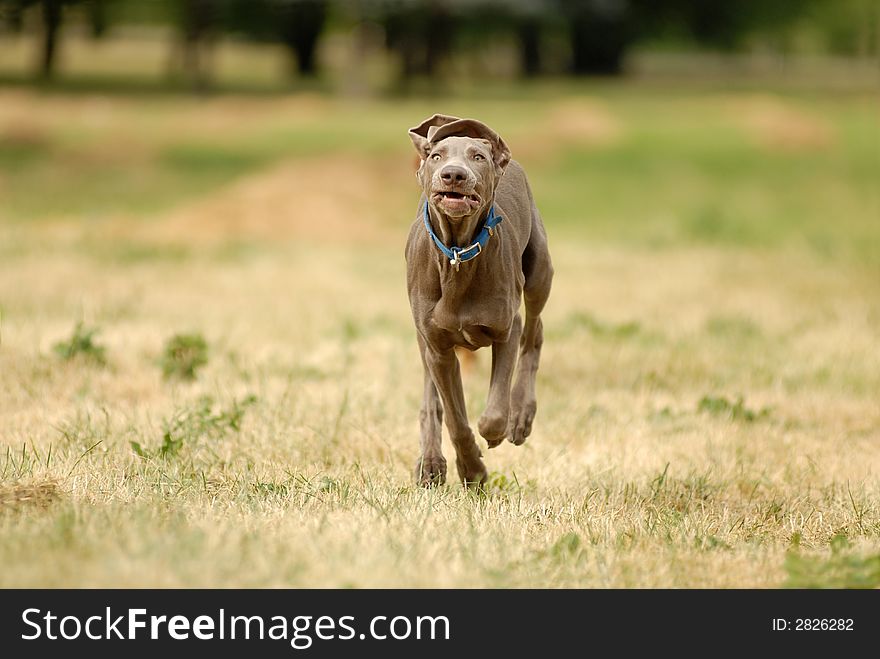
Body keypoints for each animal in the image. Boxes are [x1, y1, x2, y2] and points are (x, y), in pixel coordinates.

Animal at [404, 113, 552, 488]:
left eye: (478, 157)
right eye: (436, 156)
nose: (454, 175)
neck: (457, 253)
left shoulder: (506, 329)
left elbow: (493, 412)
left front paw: (496, 436)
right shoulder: (438, 349)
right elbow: (454, 418)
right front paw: (471, 469)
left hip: (540, 270)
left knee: (535, 332)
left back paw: (522, 416)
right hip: (422, 338)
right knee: (430, 399)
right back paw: (430, 462)